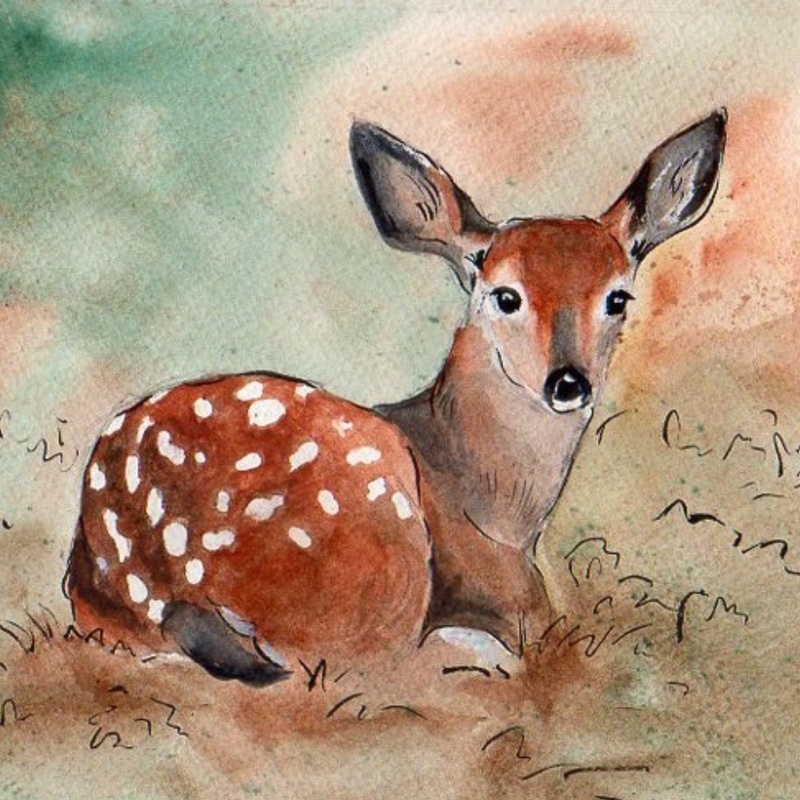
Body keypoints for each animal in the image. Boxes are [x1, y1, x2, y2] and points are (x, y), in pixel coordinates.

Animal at [64, 110, 727, 686]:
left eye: (618, 298)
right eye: (506, 296)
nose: (568, 382)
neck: (503, 515)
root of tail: (157, 580)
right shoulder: (511, 600)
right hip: (380, 555)